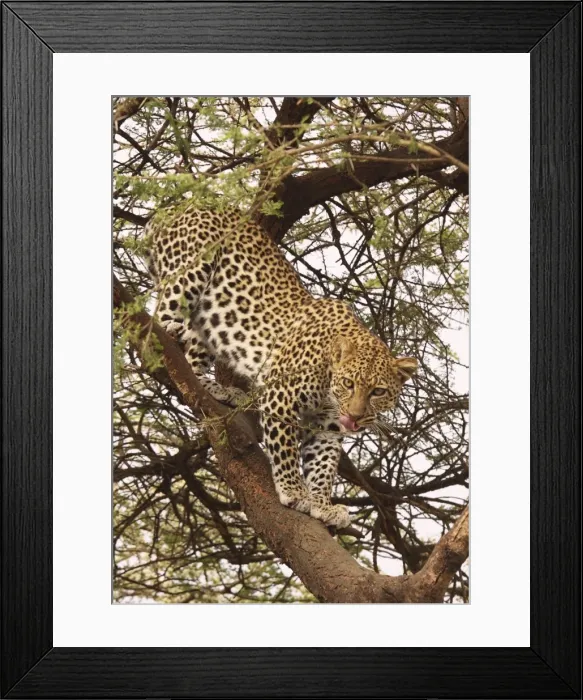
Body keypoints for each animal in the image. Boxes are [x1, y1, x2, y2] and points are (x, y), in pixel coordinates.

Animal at [144, 206, 417, 529]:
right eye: (349, 384)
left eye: (378, 391)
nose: (355, 417)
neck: (328, 385)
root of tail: (175, 208)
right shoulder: (280, 398)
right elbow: (285, 449)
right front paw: (294, 491)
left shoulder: (327, 427)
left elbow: (324, 466)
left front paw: (323, 504)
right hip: (190, 271)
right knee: (159, 316)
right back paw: (167, 332)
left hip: (210, 319)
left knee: (193, 361)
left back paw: (218, 389)